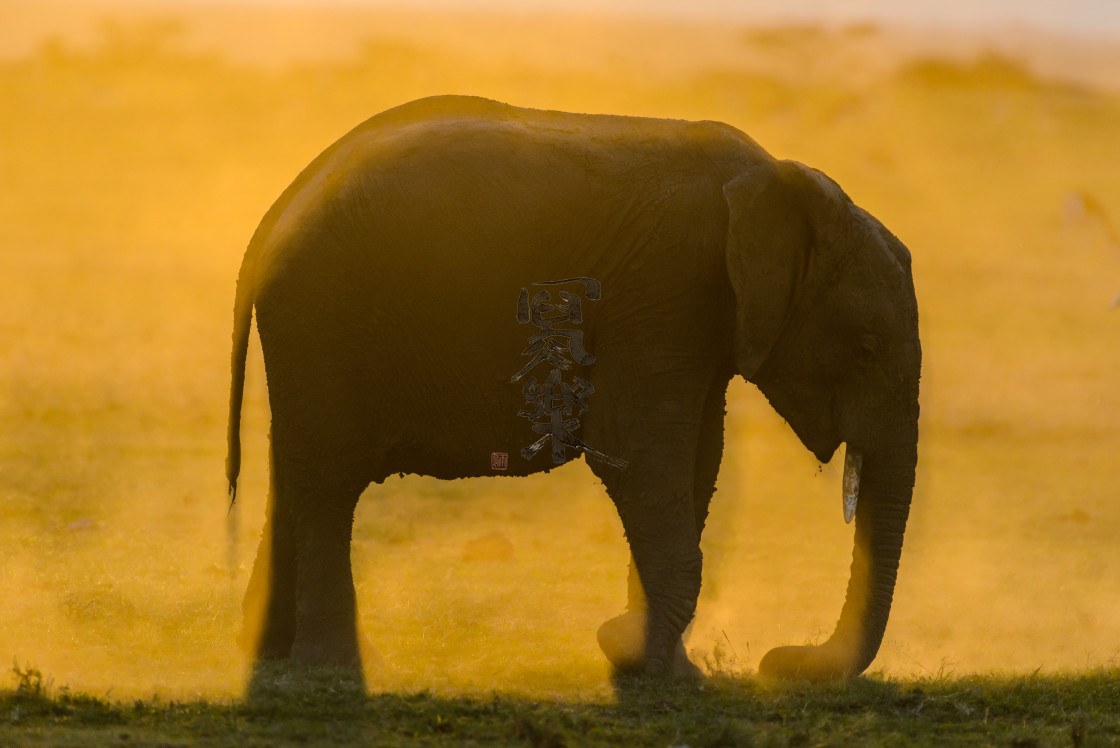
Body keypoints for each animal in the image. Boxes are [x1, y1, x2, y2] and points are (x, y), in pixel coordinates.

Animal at [225, 95, 918, 685]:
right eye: (865, 346)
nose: (779, 660)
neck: (775, 181)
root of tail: (272, 217)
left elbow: (699, 459)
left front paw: (663, 665)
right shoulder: (667, 289)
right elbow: (640, 453)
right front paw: (643, 663)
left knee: (295, 475)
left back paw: (271, 656)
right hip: (323, 317)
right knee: (328, 482)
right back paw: (336, 669)